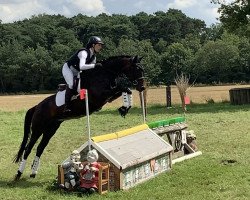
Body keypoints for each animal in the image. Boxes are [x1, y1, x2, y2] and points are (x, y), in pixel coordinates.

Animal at [13, 54, 146, 180]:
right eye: (137, 69)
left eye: (142, 69)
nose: (142, 87)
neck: (104, 74)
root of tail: (37, 106)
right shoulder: (100, 96)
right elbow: (123, 88)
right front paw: (124, 108)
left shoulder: (109, 96)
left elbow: (126, 90)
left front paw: (124, 109)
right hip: (38, 128)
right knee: (28, 149)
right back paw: (19, 173)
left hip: (51, 129)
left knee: (40, 148)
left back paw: (33, 173)